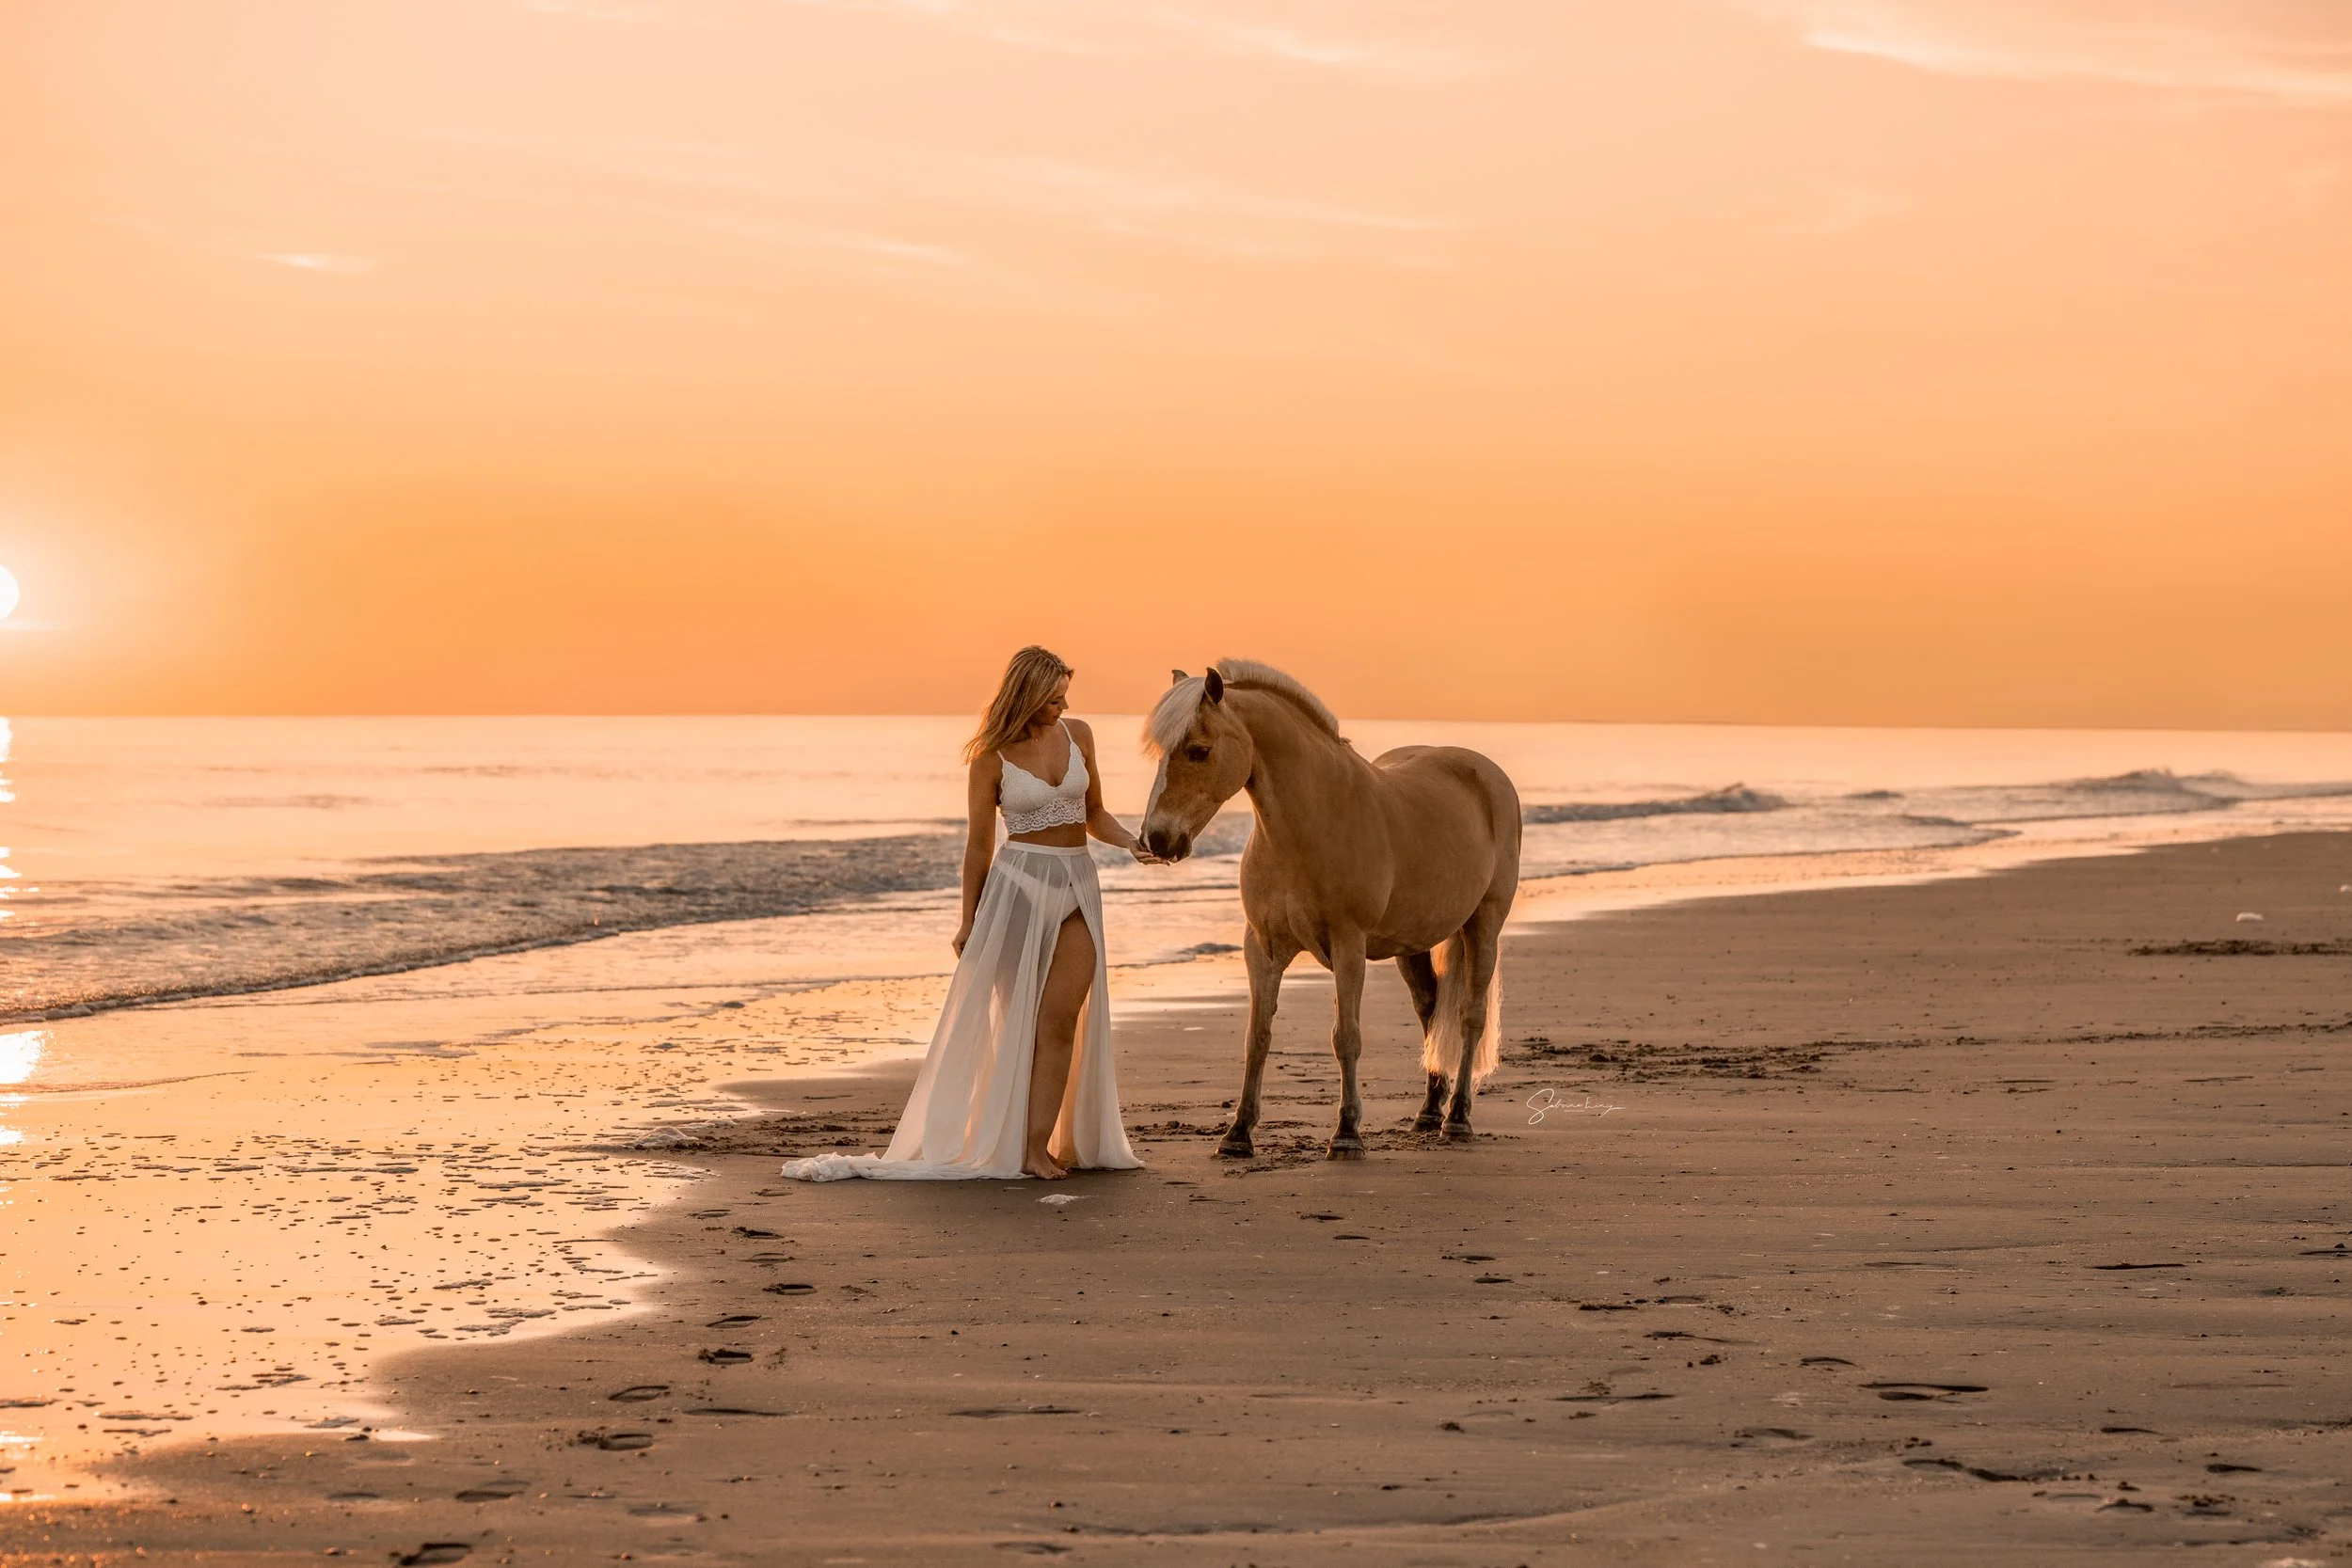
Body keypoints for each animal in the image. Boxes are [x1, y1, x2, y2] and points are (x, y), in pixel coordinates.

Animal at [1139, 661, 1521, 1159]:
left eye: (1198, 751)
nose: (1156, 839)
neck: (1310, 824)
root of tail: (1486, 773)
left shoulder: (1347, 946)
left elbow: (1347, 1038)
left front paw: (1346, 1133)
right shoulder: (1261, 949)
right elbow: (1257, 1038)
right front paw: (1238, 1133)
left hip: (1483, 926)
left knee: (1469, 1016)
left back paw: (1457, 1118)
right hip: (1411, 945)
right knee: (1430, 1010)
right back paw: (1428, 1113)